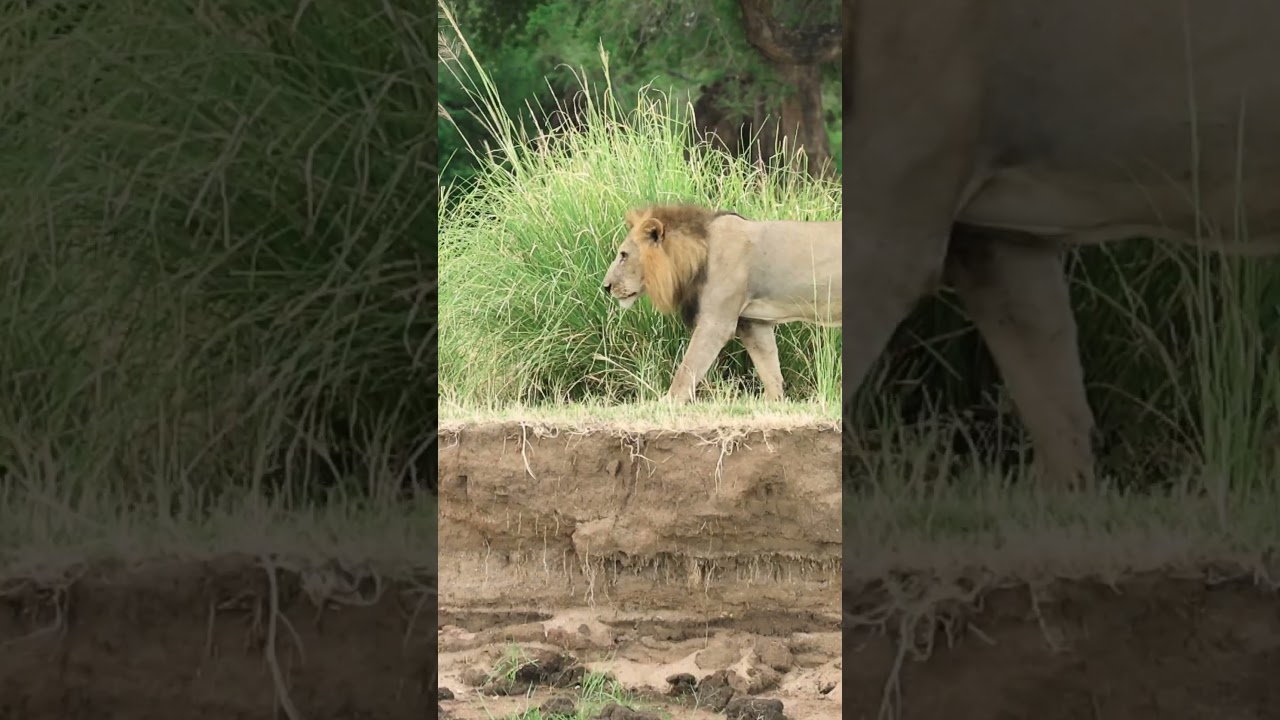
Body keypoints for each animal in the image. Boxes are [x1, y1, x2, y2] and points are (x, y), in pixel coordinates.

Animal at [601, 203, 841, 403]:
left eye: (623, 255)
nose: (605, 286)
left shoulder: (716, 323)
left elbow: (688, 368)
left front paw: (667, 403)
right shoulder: (752, 324)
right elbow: (769, 367)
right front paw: (774, 403)